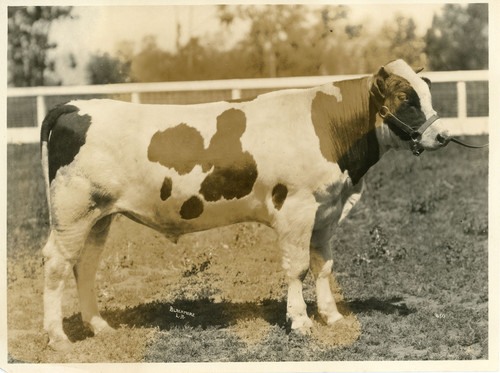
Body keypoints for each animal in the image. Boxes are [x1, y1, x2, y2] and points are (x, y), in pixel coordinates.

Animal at [42, 58, 450, 348]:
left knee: (85, 265)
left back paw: (99, 326)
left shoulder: (325, 212)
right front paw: (300, 321)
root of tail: (73, 106)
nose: (443, 136)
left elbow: (323, 267)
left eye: (428, 94)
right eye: (407, 100)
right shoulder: (296, 209)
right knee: (56, 264)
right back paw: (58, 337)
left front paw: (332, 317)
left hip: (99, 215)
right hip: (71, 212)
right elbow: (298, 268)